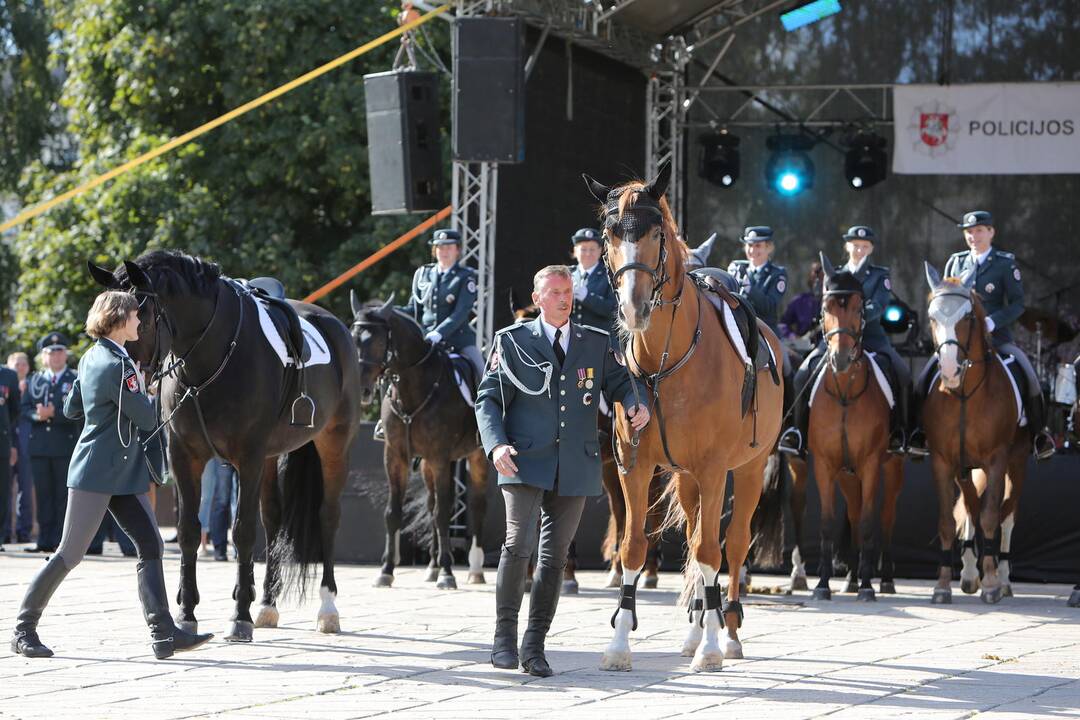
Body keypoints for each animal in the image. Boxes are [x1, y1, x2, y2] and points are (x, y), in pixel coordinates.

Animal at [90, 252, 365, 643]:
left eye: (135, 320)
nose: (118, 375)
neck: (211, 353)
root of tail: (334, 325)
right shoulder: (185, 457)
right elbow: (190, 531)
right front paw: (188, 613)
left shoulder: (247, 458)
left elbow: (242, 532)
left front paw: (239, 617)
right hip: (271, 458)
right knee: (274, 518)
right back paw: (266, 605)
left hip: (333, 445)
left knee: (327, 516)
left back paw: (327, 609)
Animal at [349, 293, 490, 591]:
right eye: (352, 337)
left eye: (377, 341)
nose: (363, 390)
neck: (413, 387)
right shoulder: (395, 456)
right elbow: (394, 513)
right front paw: (386, 571)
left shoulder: (440, 457)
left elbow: (443, 514)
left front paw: (448, 574)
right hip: (426, 465)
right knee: (432, 503)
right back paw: (432, 567)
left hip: (477, 458)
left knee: (476, 506)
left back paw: (474, 569)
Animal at [587, 165, 781, 677]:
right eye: (610, 234)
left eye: (656, 233)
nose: (633, 307)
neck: (667, 361)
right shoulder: (634, 466)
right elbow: (634, 548)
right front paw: (619, 645)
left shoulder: (714, 471)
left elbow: (712, 551)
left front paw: (711, 649)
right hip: (686, 478)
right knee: (695, 538)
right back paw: (696, 628)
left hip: (747, 470)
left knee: (731, 544)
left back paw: (726, 634)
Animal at [812, 257, 902, 604]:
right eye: (826, 307)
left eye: (858, 307)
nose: (840, 357)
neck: (845, 394)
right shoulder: (824, 465)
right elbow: (828, 523)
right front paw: (823, 585)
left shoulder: (872, 464)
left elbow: (867, 523)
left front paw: (867, 586)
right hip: (847, 476)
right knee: (851, 511)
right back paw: (849, 579)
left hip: (892, 468)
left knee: (886, 518)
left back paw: (884, 579)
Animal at [920, 262, 1028, 604]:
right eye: (932, 317)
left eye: (967, 317)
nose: (949, 370)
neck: (965, 393)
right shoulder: (943, 461)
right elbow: (949, 520)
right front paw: (942, 585)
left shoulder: (997, 459)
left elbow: (992, 516)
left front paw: (992, 582)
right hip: (965, 469)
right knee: (969, 508)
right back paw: (969, 575)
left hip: (1017, 463)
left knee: (1008, 514)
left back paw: (1003, 578)